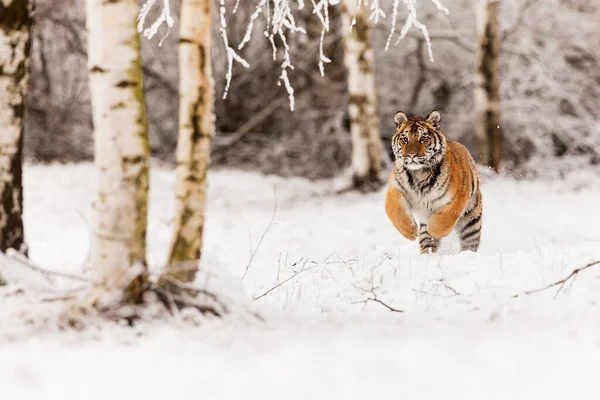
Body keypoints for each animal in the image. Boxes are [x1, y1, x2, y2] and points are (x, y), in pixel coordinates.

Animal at [384, 109, 482, 255]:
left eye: (423, 138)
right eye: (405, 139)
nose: (411, 155)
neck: (418, 173)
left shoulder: (458, 197)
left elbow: (444, 220)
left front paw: (434, 231)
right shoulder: (395, 189)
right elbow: (396, 211)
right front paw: (411, 231)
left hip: (471, 222)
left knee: (470, 243)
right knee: (426, 242)